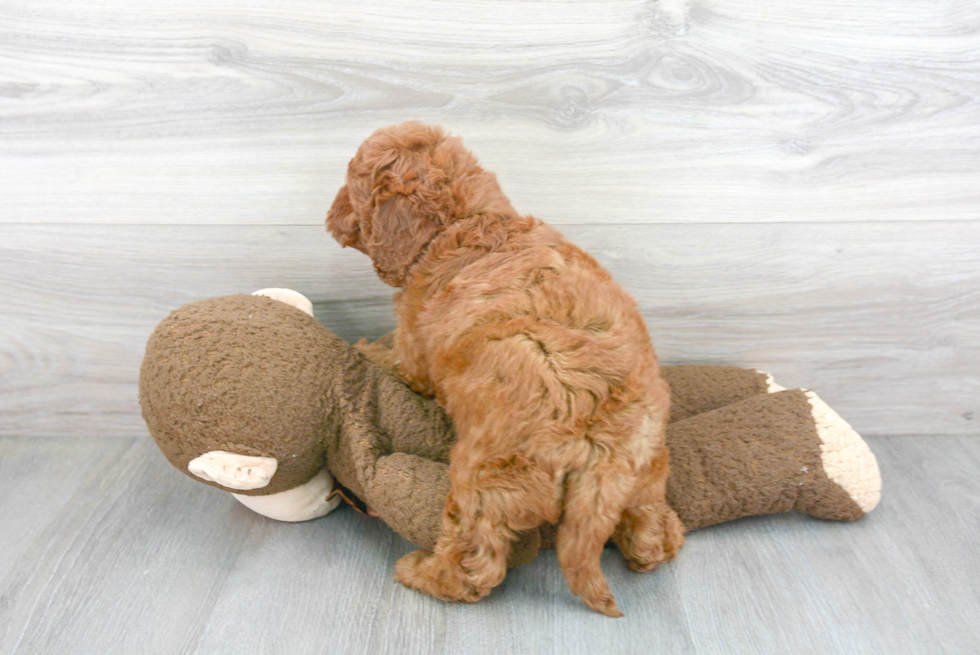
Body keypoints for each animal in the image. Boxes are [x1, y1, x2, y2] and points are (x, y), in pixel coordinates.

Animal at [328, 121, 680, 616]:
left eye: (352, 186)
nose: (330, 215)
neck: (467, 220)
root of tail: (602, 449)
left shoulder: (413, 352)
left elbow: (393, 359)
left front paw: (363, 348)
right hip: (647, 470)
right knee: (650, 525)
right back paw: (657, 543)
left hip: (486, 482)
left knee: (475, 564)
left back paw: (423, 574)